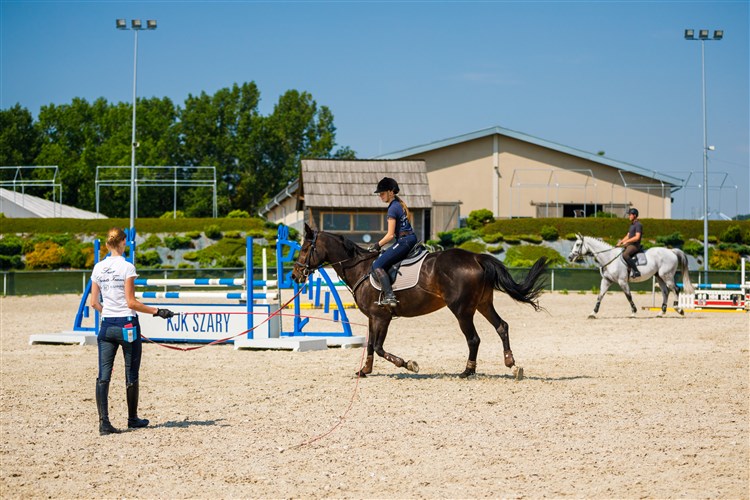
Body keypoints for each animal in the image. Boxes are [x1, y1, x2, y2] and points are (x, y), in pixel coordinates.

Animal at [292, 225, 548, 376]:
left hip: (462, 310)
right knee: (501, 326)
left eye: (304, 248)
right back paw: (512, 364)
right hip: (483, 304)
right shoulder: (373, 317)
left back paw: (467, 371)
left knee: (474, 339)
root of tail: (476, 257)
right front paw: (364, 370)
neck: (361, 269)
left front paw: (407, 364)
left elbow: (379, 346)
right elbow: (371, 345)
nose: (295, 275)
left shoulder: (382, 317)